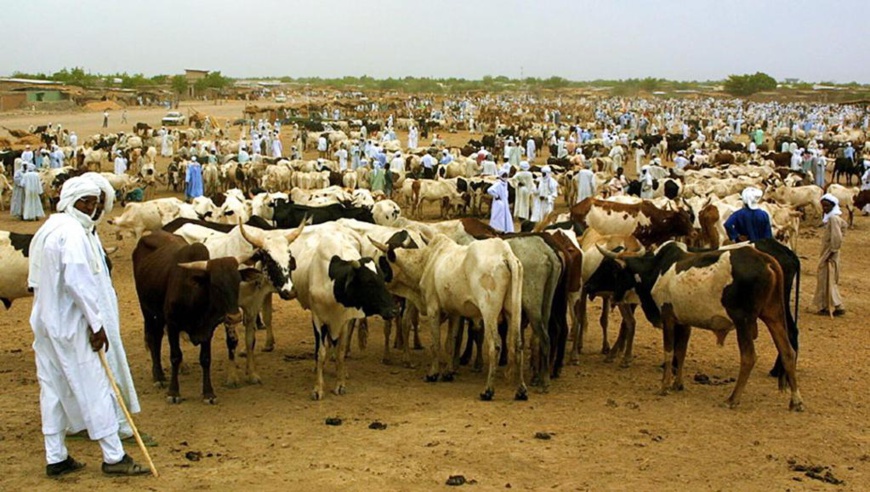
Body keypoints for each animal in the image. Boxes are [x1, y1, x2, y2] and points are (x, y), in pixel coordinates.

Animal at [134, 231, 252, 404]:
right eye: (215, 285)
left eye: (237, 282)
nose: (234, 317)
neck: (194, 296)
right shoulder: (173, 324)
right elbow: (175, 356)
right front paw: (174, 392)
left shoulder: (208, 328)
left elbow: (205, 359)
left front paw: (208, 393)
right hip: (148, 310)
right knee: (152, 338)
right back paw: (159, 376)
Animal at [368, 234, 524, 400]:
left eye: (382, 263)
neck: (427, 261)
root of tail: (505, 255)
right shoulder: (455, 313)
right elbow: (451, 343)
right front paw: (448, 372)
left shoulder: (433, 309)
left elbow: (435, 343)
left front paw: (433, 374)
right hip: (514, 311)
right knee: (518, 343)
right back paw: (521, 390)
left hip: (489, 312)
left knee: (495, 346)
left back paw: (488, 390)